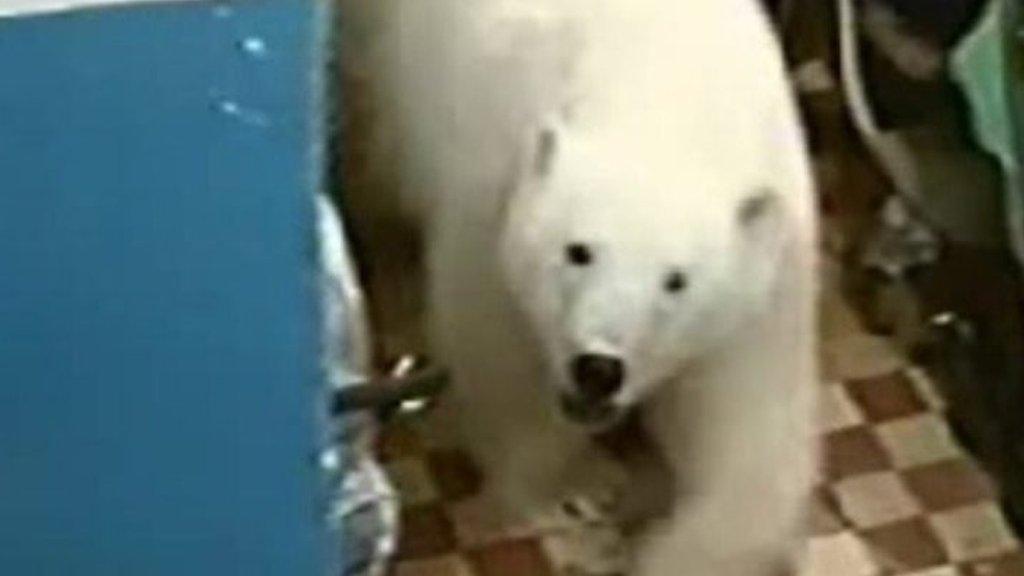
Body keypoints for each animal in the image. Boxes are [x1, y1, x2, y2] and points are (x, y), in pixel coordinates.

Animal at [344, 0, 823, 569]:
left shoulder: (769, 282)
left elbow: (750, 441)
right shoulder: (491, 193)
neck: (666, 108)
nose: (598, 370)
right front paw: (578, 485)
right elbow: (498, 355)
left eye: (677, 281)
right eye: (577, 252)